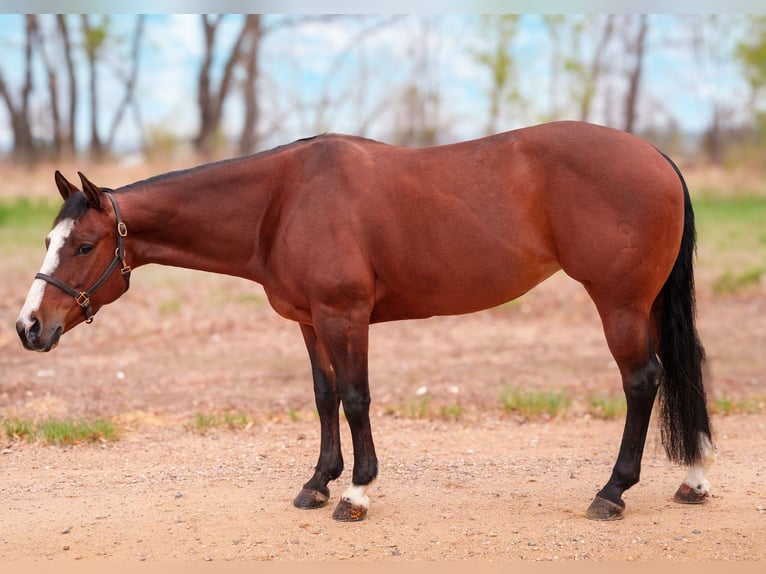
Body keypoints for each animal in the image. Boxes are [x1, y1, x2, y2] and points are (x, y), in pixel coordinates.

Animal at [16, 120, 713, 522]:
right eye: (49, 240)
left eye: (83, 246)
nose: (28, 328)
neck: (282, 200)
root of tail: (655, 156)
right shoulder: (309, 321)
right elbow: (325, 397)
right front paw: (318, 483)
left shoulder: (345, 316)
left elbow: (355, 397)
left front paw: (355, 493)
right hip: (645, 303)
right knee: (680, 376)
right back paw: (693, 481)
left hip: (618, 302)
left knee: (643, 381)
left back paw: (612, 492)